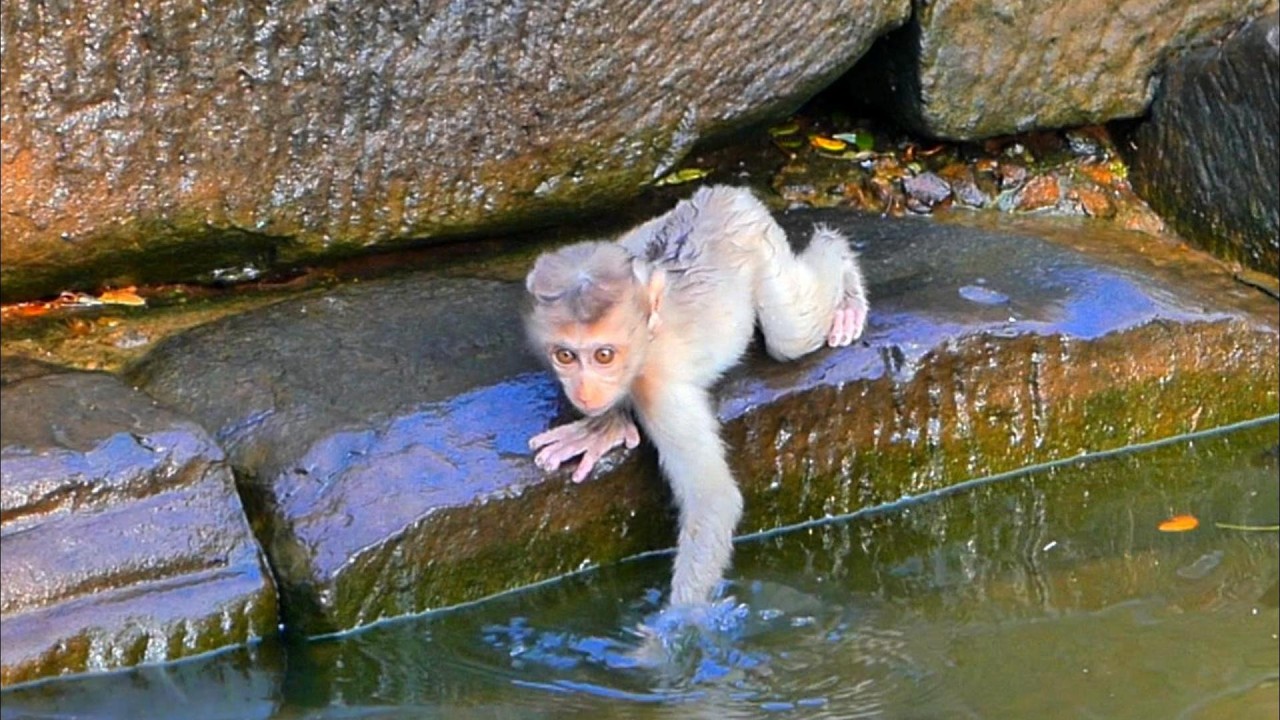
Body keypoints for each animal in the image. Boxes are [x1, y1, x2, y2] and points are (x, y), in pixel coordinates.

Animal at [524, 185, 868, 607]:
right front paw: (603, 426)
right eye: (566, 356)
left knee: (791, 334)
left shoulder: (660, 392)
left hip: (755, 239)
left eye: (604, 355)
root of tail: (720, 194)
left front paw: (678, 620)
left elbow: (714, 500)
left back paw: (843, 277)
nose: (585, 390)